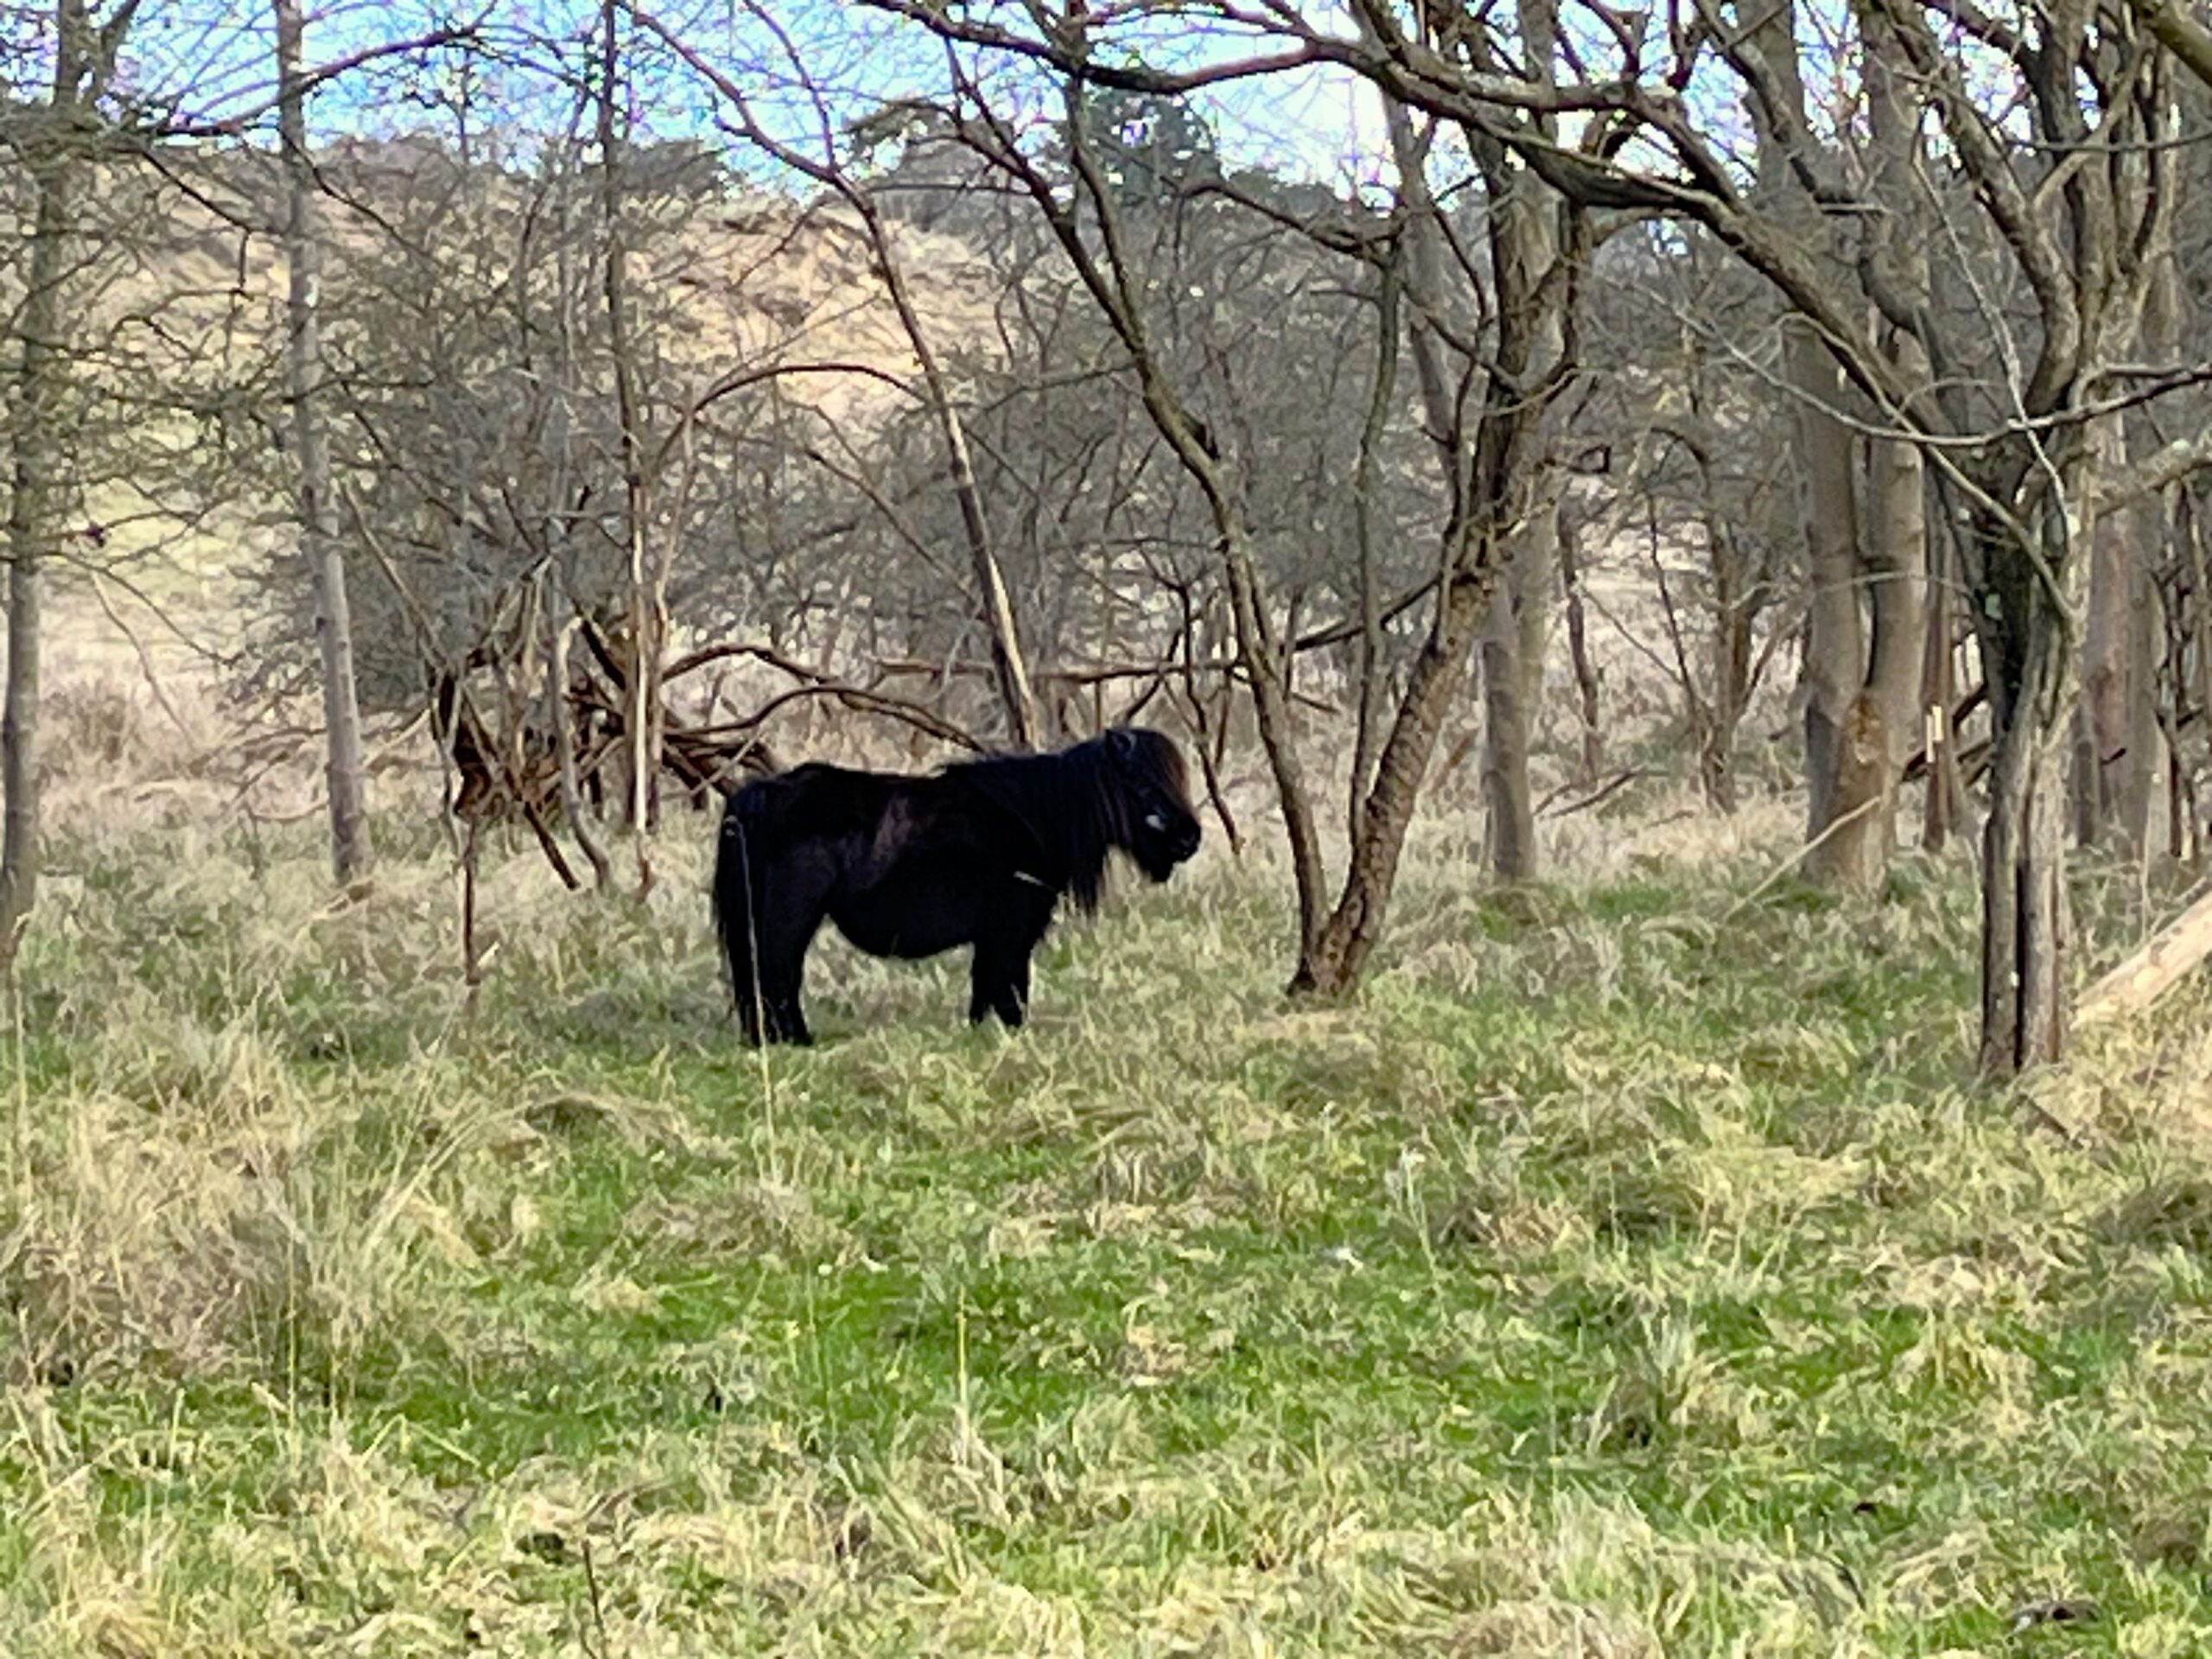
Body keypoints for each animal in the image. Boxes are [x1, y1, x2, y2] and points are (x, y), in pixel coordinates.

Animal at [712, 725, 1203, 1044]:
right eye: (1142, 783)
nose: (1190, 838)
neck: (1034, 819)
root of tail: (761, 795)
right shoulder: (1011, 934)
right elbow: (1010, 991)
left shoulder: (993, 939)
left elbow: (986, 991)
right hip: (790, 918)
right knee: (777, 975)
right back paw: (795, 1039)